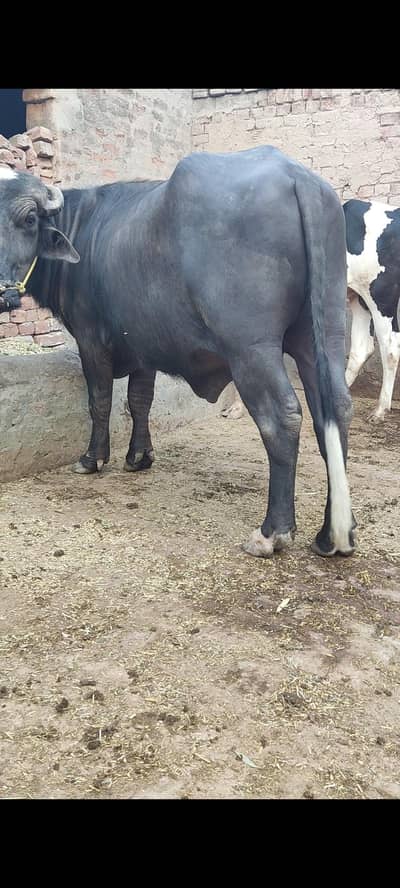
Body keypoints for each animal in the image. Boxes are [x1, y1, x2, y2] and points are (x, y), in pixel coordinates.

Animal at [0, 146, 355, 559]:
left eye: (28, 219)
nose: (3, 293)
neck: (83, 230)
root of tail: (295, 175)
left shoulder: (91, 339)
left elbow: (100, 401)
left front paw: (92, 458)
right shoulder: (142, 346)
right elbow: (140, 400)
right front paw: (139, 456)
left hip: (252, 349)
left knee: (281, 416)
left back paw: (273, 532)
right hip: (323, 336)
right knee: (334, 410)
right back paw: (332, 534)